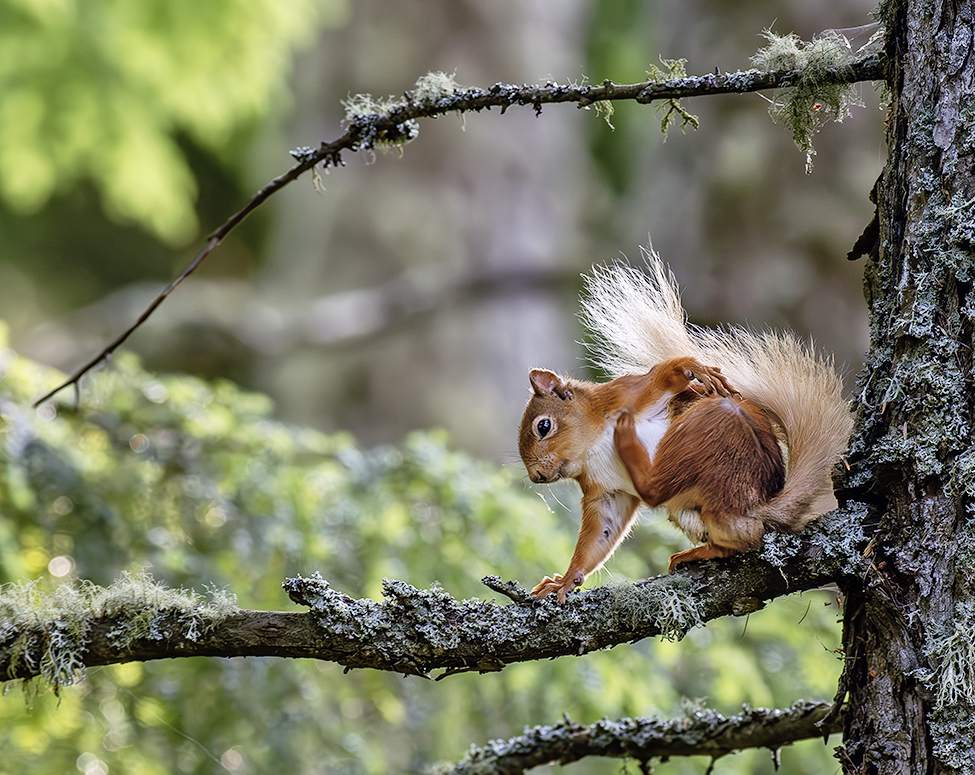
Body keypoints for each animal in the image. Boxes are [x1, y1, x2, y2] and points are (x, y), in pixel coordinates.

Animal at [518, 250, 852, 603]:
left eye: (543, 426)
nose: (536, 476)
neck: (593, 445)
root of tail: (755, 508)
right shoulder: (606, 492)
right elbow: (601, 535)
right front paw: (565, 581)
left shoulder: (630, 393)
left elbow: (665, 374)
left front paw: (693, 367)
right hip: (691, 504)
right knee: (732, 536)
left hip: (707, 436)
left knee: (740, 532)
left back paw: (628, 439)